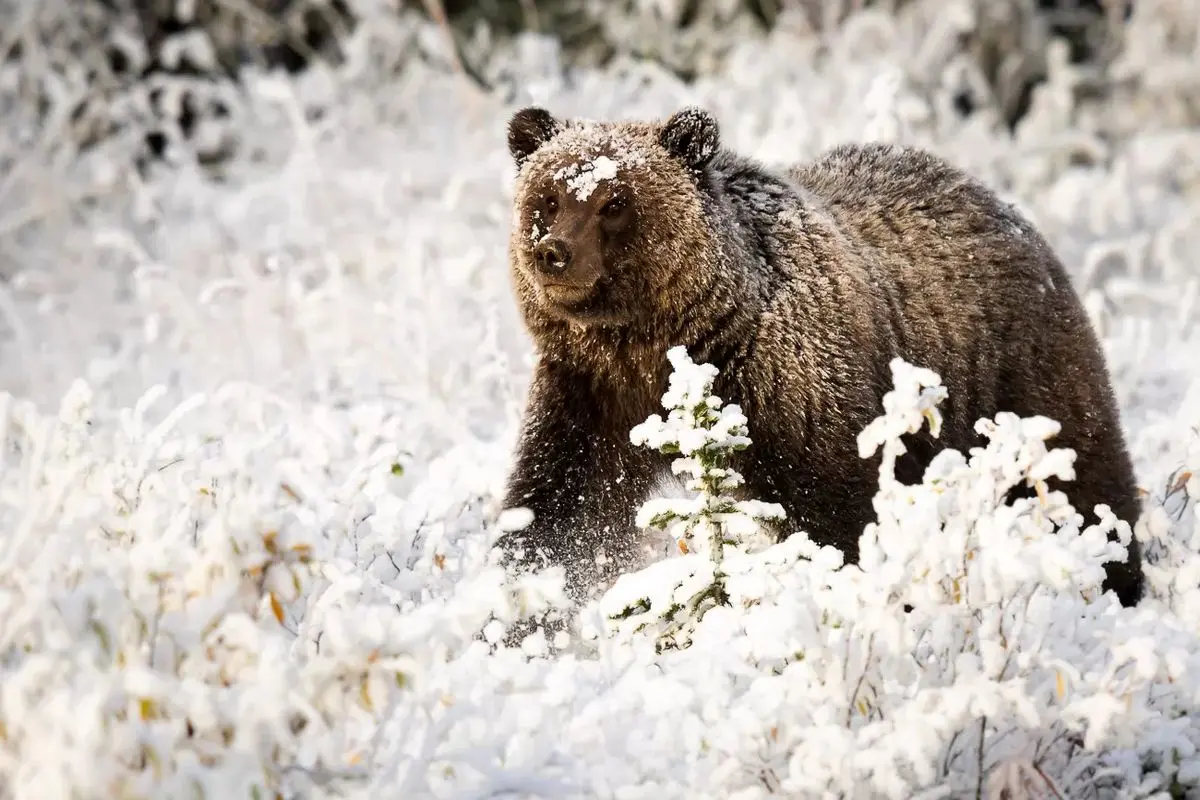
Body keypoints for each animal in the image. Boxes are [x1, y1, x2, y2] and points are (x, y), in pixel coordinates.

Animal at [494, 103, 1142, 628]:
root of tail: (1007, 208)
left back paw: (1114, 582)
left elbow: (838, 518)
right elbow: (560, 513)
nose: (554, 252)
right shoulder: (590, 393)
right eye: (548, 196)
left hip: (1016, 376)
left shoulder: (789, 390)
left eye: (614, 202)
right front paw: (519, 613)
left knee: (1081, 481)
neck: (662, 349)